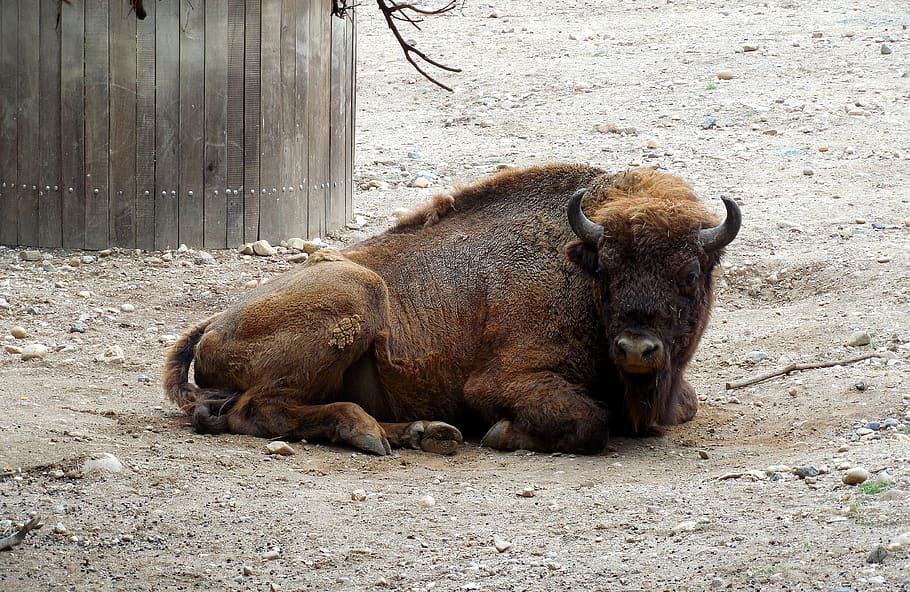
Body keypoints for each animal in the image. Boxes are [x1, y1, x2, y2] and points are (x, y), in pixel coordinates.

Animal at [163, 164, 740, 455]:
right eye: (608, 271)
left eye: (690, 277)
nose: (637, 349)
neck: (575, 259)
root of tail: (213, 323)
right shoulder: (500, 381)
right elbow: (588, 422)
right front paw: (502, 434)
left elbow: (684, 405)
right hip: (357, 295)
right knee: (256, 409)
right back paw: (366, 432)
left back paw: (426, 434)